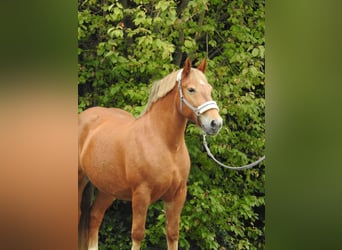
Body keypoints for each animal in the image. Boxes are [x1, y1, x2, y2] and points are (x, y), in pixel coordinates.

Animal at [78, 57, 222, 249]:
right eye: (191, 89)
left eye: (210, 89)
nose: (215, 123)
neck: (166, 145)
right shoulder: (141, 194)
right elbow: (138, 234)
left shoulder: (178, 195)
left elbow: (172, 233)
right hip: (80, 181)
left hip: (108, 189)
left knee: (94, 217)